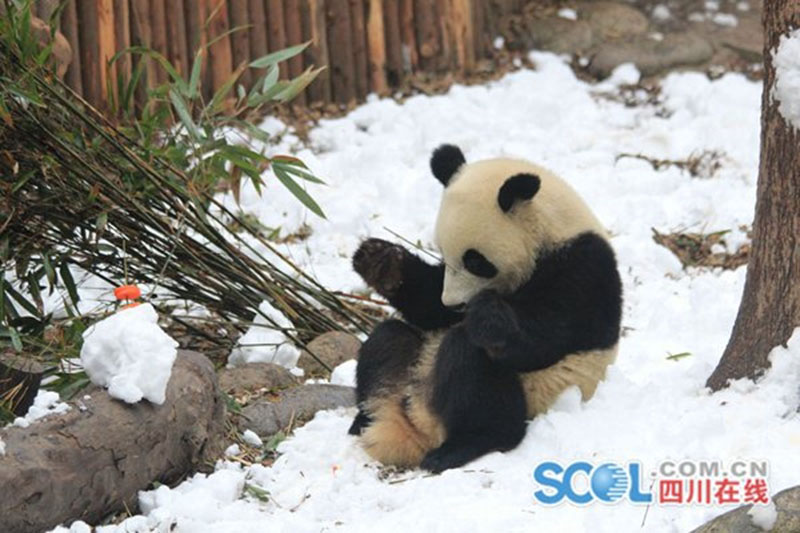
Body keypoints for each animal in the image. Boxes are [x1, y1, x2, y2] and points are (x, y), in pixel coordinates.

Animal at [346, 143, 620, 472]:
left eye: (475, 261)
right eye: (443, 253)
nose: (456, 305)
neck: (551, 229)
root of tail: (422, 427)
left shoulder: (584, 269)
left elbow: (547, 336)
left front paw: (488, 316)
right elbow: (429, 305)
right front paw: (382, 262)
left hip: (533, 394)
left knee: (473, 364)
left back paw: (465, 444)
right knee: (389, 339)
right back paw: (364, 418)